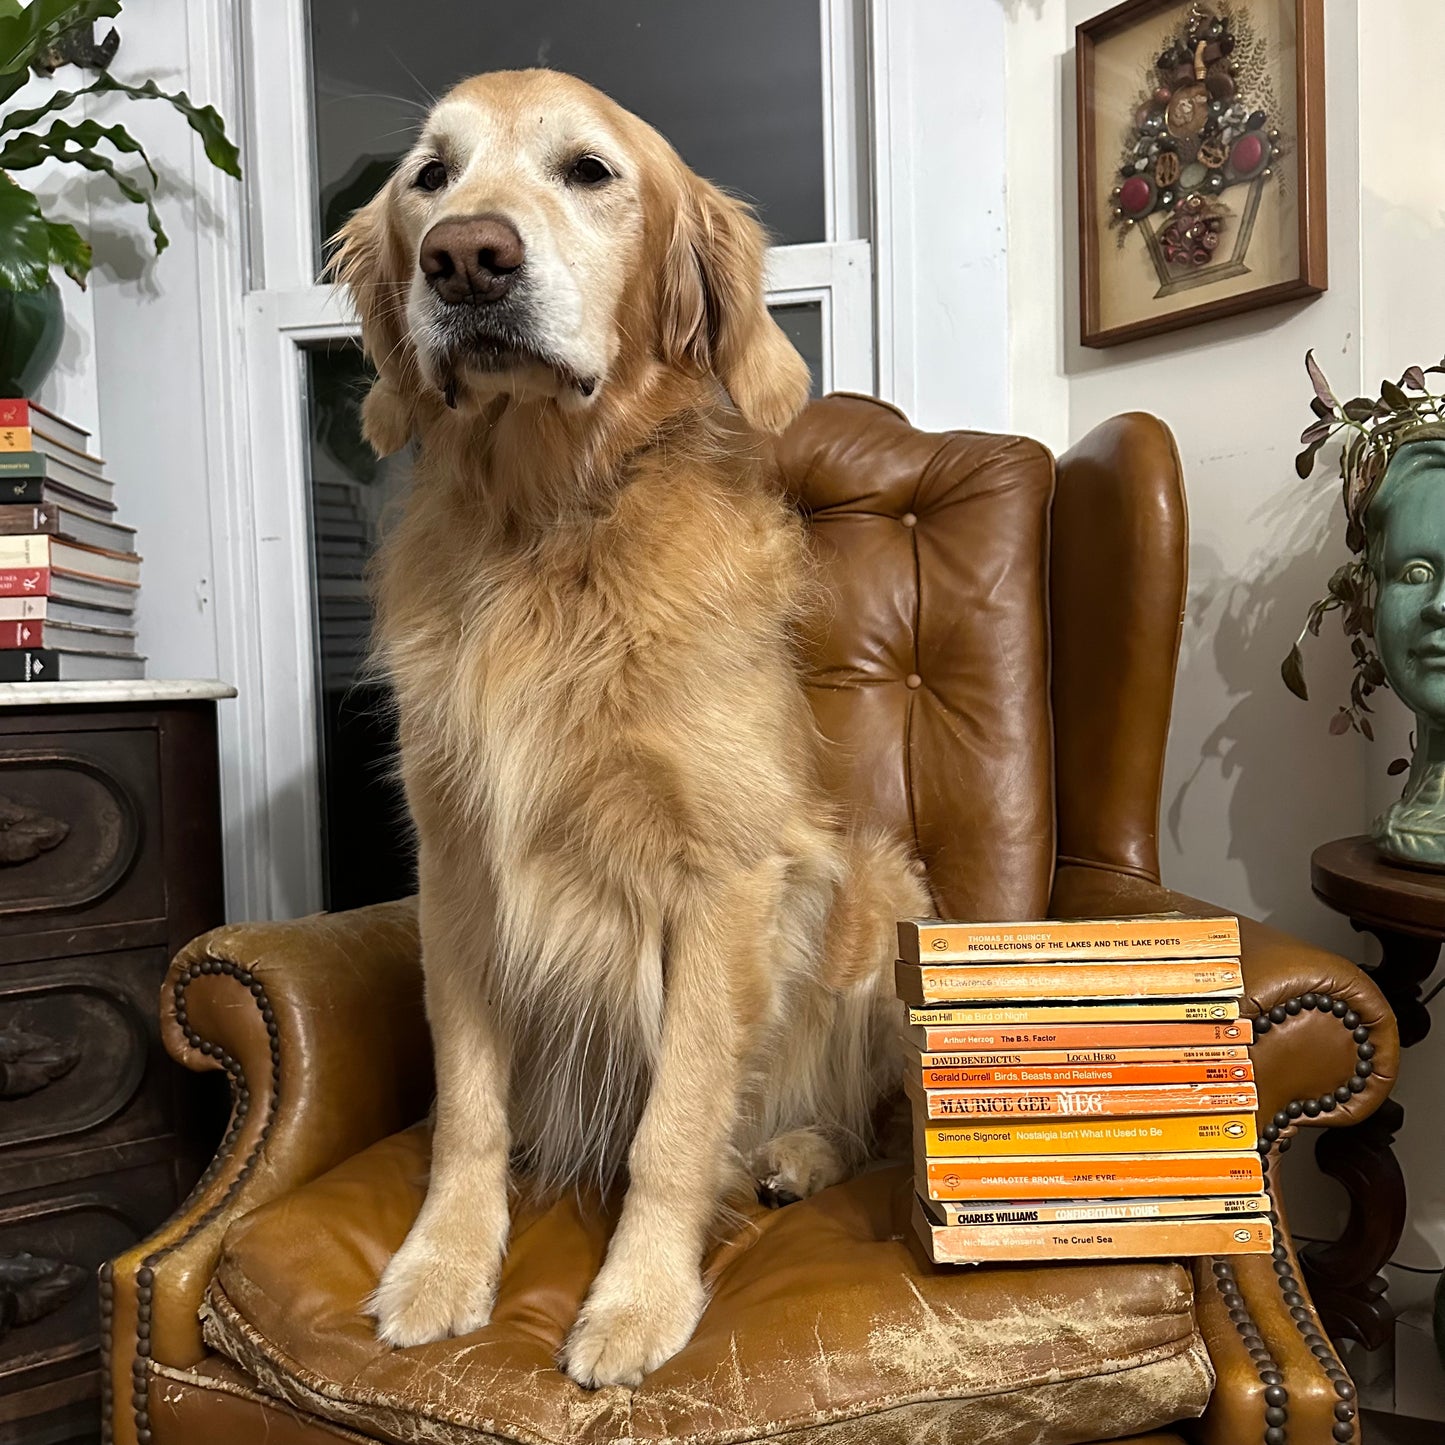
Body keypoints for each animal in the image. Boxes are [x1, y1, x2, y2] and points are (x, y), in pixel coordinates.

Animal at [330, 67, 924, 1387]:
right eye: (428, 179)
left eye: (589, 171)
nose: (464, 259)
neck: (547, 523)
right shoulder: (456, 870)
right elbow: (469, 1107)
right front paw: (442, 1261)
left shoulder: (723, 878)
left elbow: (677, 1121)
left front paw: (639, 1297)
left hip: (880, 894)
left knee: (871, 1116)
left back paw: (796, 1150)